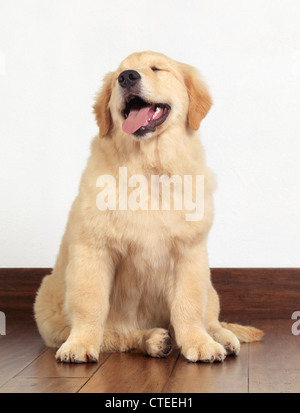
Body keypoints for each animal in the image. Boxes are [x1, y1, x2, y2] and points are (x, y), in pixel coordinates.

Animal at [33, 50, 262, 360]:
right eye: (119, 75)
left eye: (157, 68)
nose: (127, 77)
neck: (148, 165)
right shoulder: (93, 248)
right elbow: (90, 303)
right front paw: (80, 343)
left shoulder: (189, 253)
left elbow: (189, 305)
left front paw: (199, 343)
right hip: (47, 303)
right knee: (117, 335)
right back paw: (152, 339)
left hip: (209, 285)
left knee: (210, 318)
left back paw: (219, 338)